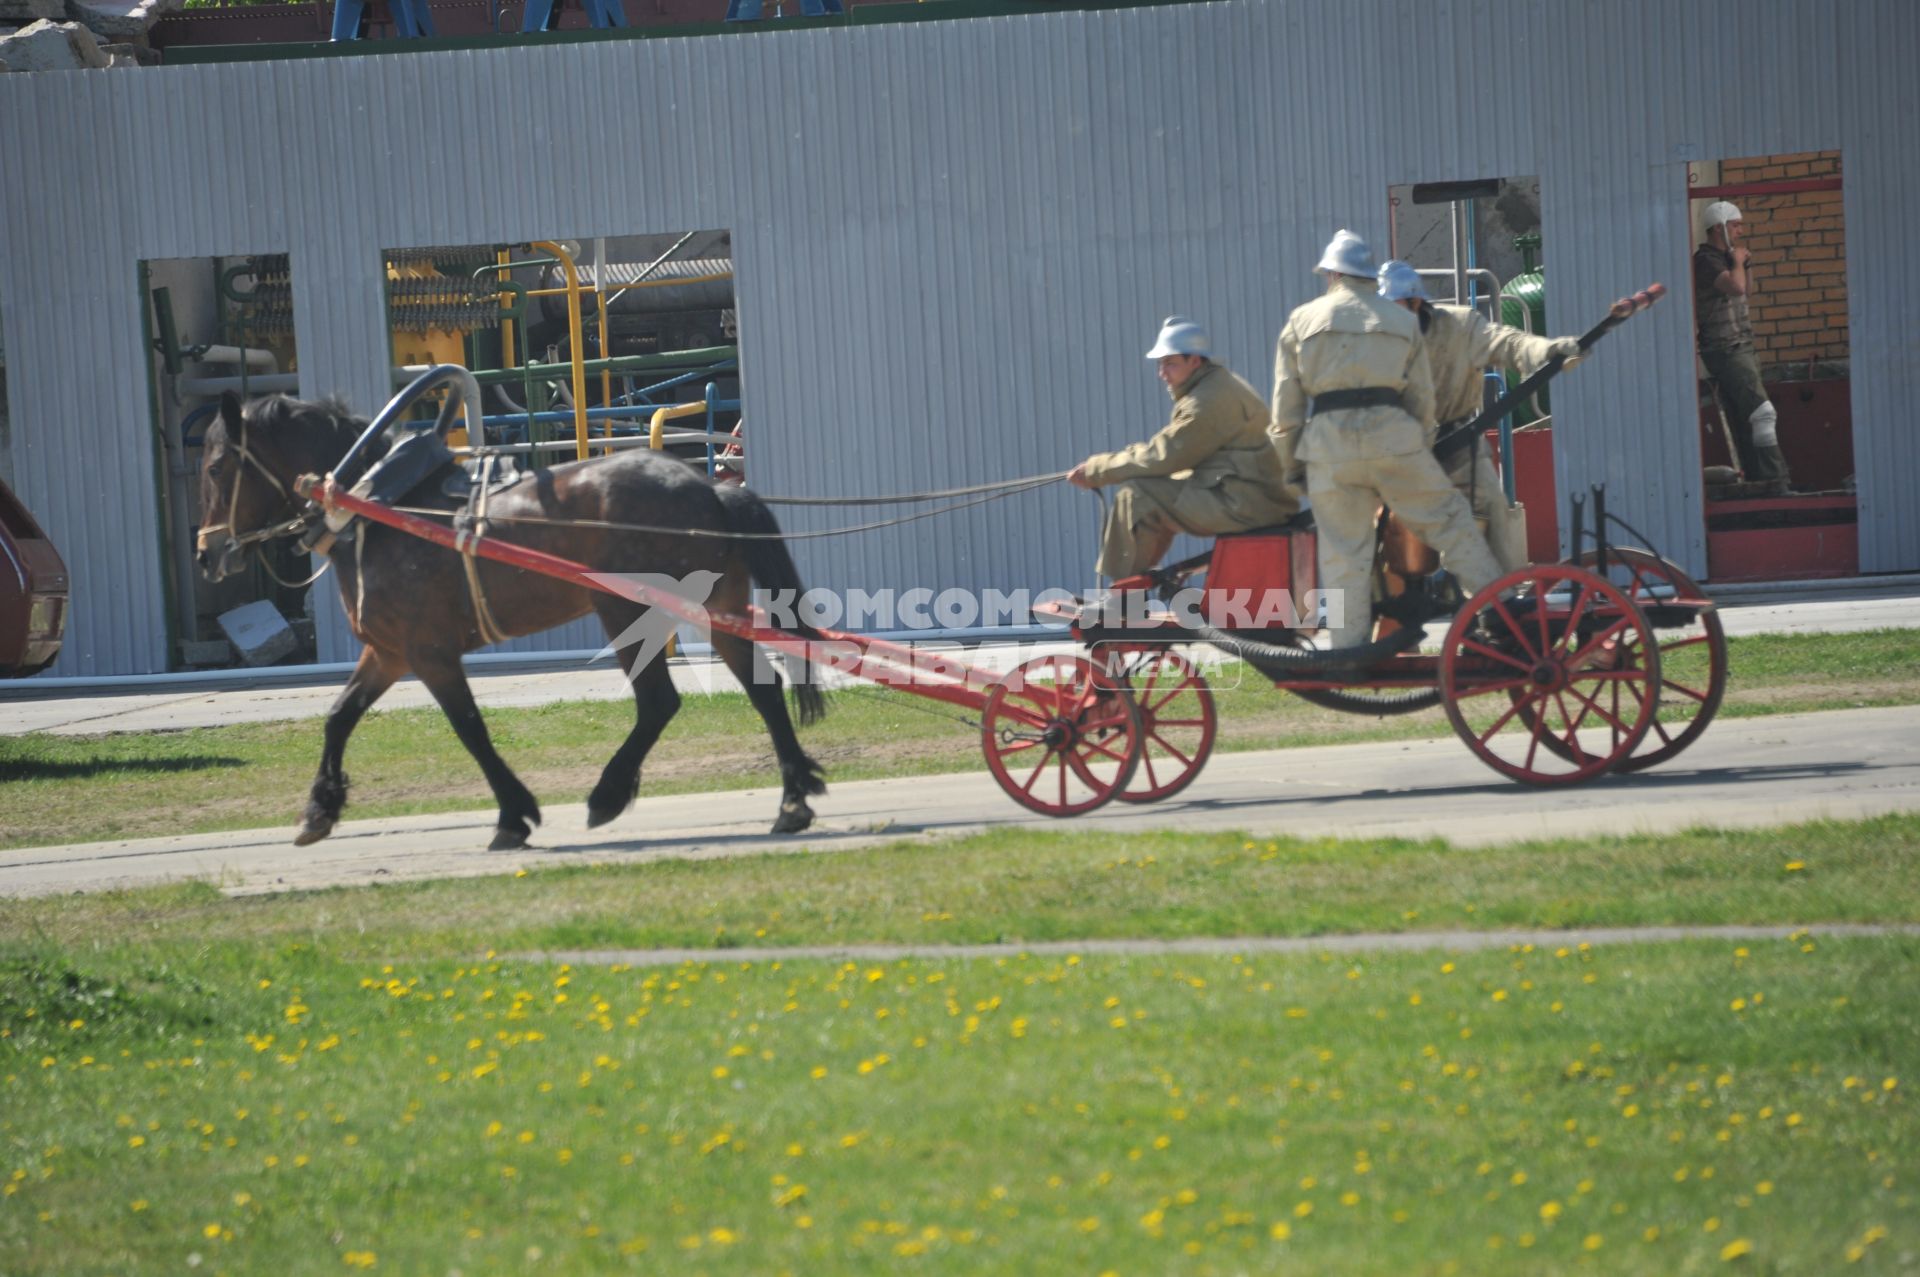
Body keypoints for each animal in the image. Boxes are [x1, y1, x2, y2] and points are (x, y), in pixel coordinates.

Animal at [196, 387, 825, 844]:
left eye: (216, 467)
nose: (207, 553)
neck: (377, 506)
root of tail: (709, 487)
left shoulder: (429, 653)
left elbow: (470, 730)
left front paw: (513, 815)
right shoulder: (389, 651)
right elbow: (338, 717)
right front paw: (318, 810)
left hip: (627, 611)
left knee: (658, 703)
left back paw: (607, 794)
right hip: (717, 607)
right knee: (761, 691)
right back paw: (792, 797)